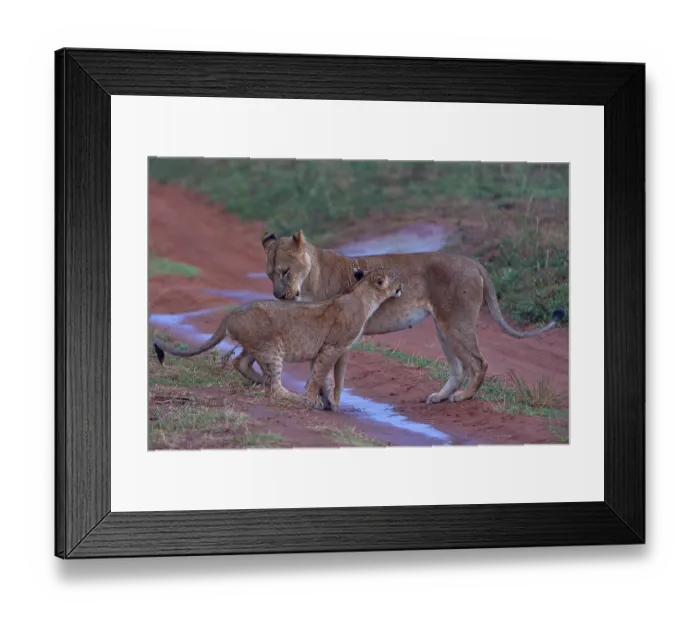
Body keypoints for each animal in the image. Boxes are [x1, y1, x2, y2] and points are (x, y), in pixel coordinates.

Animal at [152, 267, 403, 411]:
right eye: (394, 278)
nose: (402, 286)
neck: (364, 298)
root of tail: (231, 314)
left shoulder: (324, 349)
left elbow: (323, 376)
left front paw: (327, 401)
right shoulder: (334, 346)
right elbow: (324, 376)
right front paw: (316, 400)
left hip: (258, 345)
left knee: (240, 362)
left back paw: (260, 380)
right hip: (272, 348)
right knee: (273, 389)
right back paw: (294, 397)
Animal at [252, 230, 564, 407]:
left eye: (284, 271)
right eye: (268, 274)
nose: (279, 296)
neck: (309, 277)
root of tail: (475, 263)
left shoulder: (339, 332)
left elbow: (329, 373)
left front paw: (327, 402)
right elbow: (318, 369)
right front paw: (319, 400)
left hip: (456, 323)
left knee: (478, 362)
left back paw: (462, 398)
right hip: (443, 327)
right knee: (458, 368)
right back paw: (439, 397)